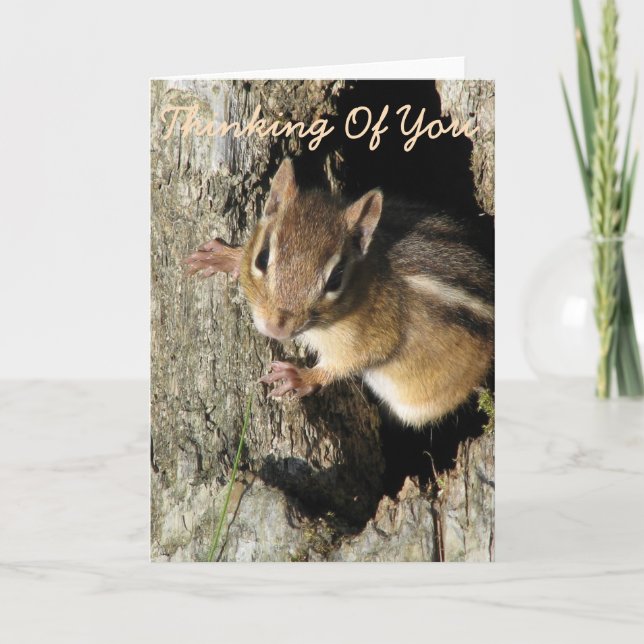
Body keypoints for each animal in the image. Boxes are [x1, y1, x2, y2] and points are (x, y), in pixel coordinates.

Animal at [184, 158, 493, 428]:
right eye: (262, 258)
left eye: (335, 279)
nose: (276, 328)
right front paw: (225, 257)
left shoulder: (377, 336)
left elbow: (348, 363)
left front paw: (301, 377)